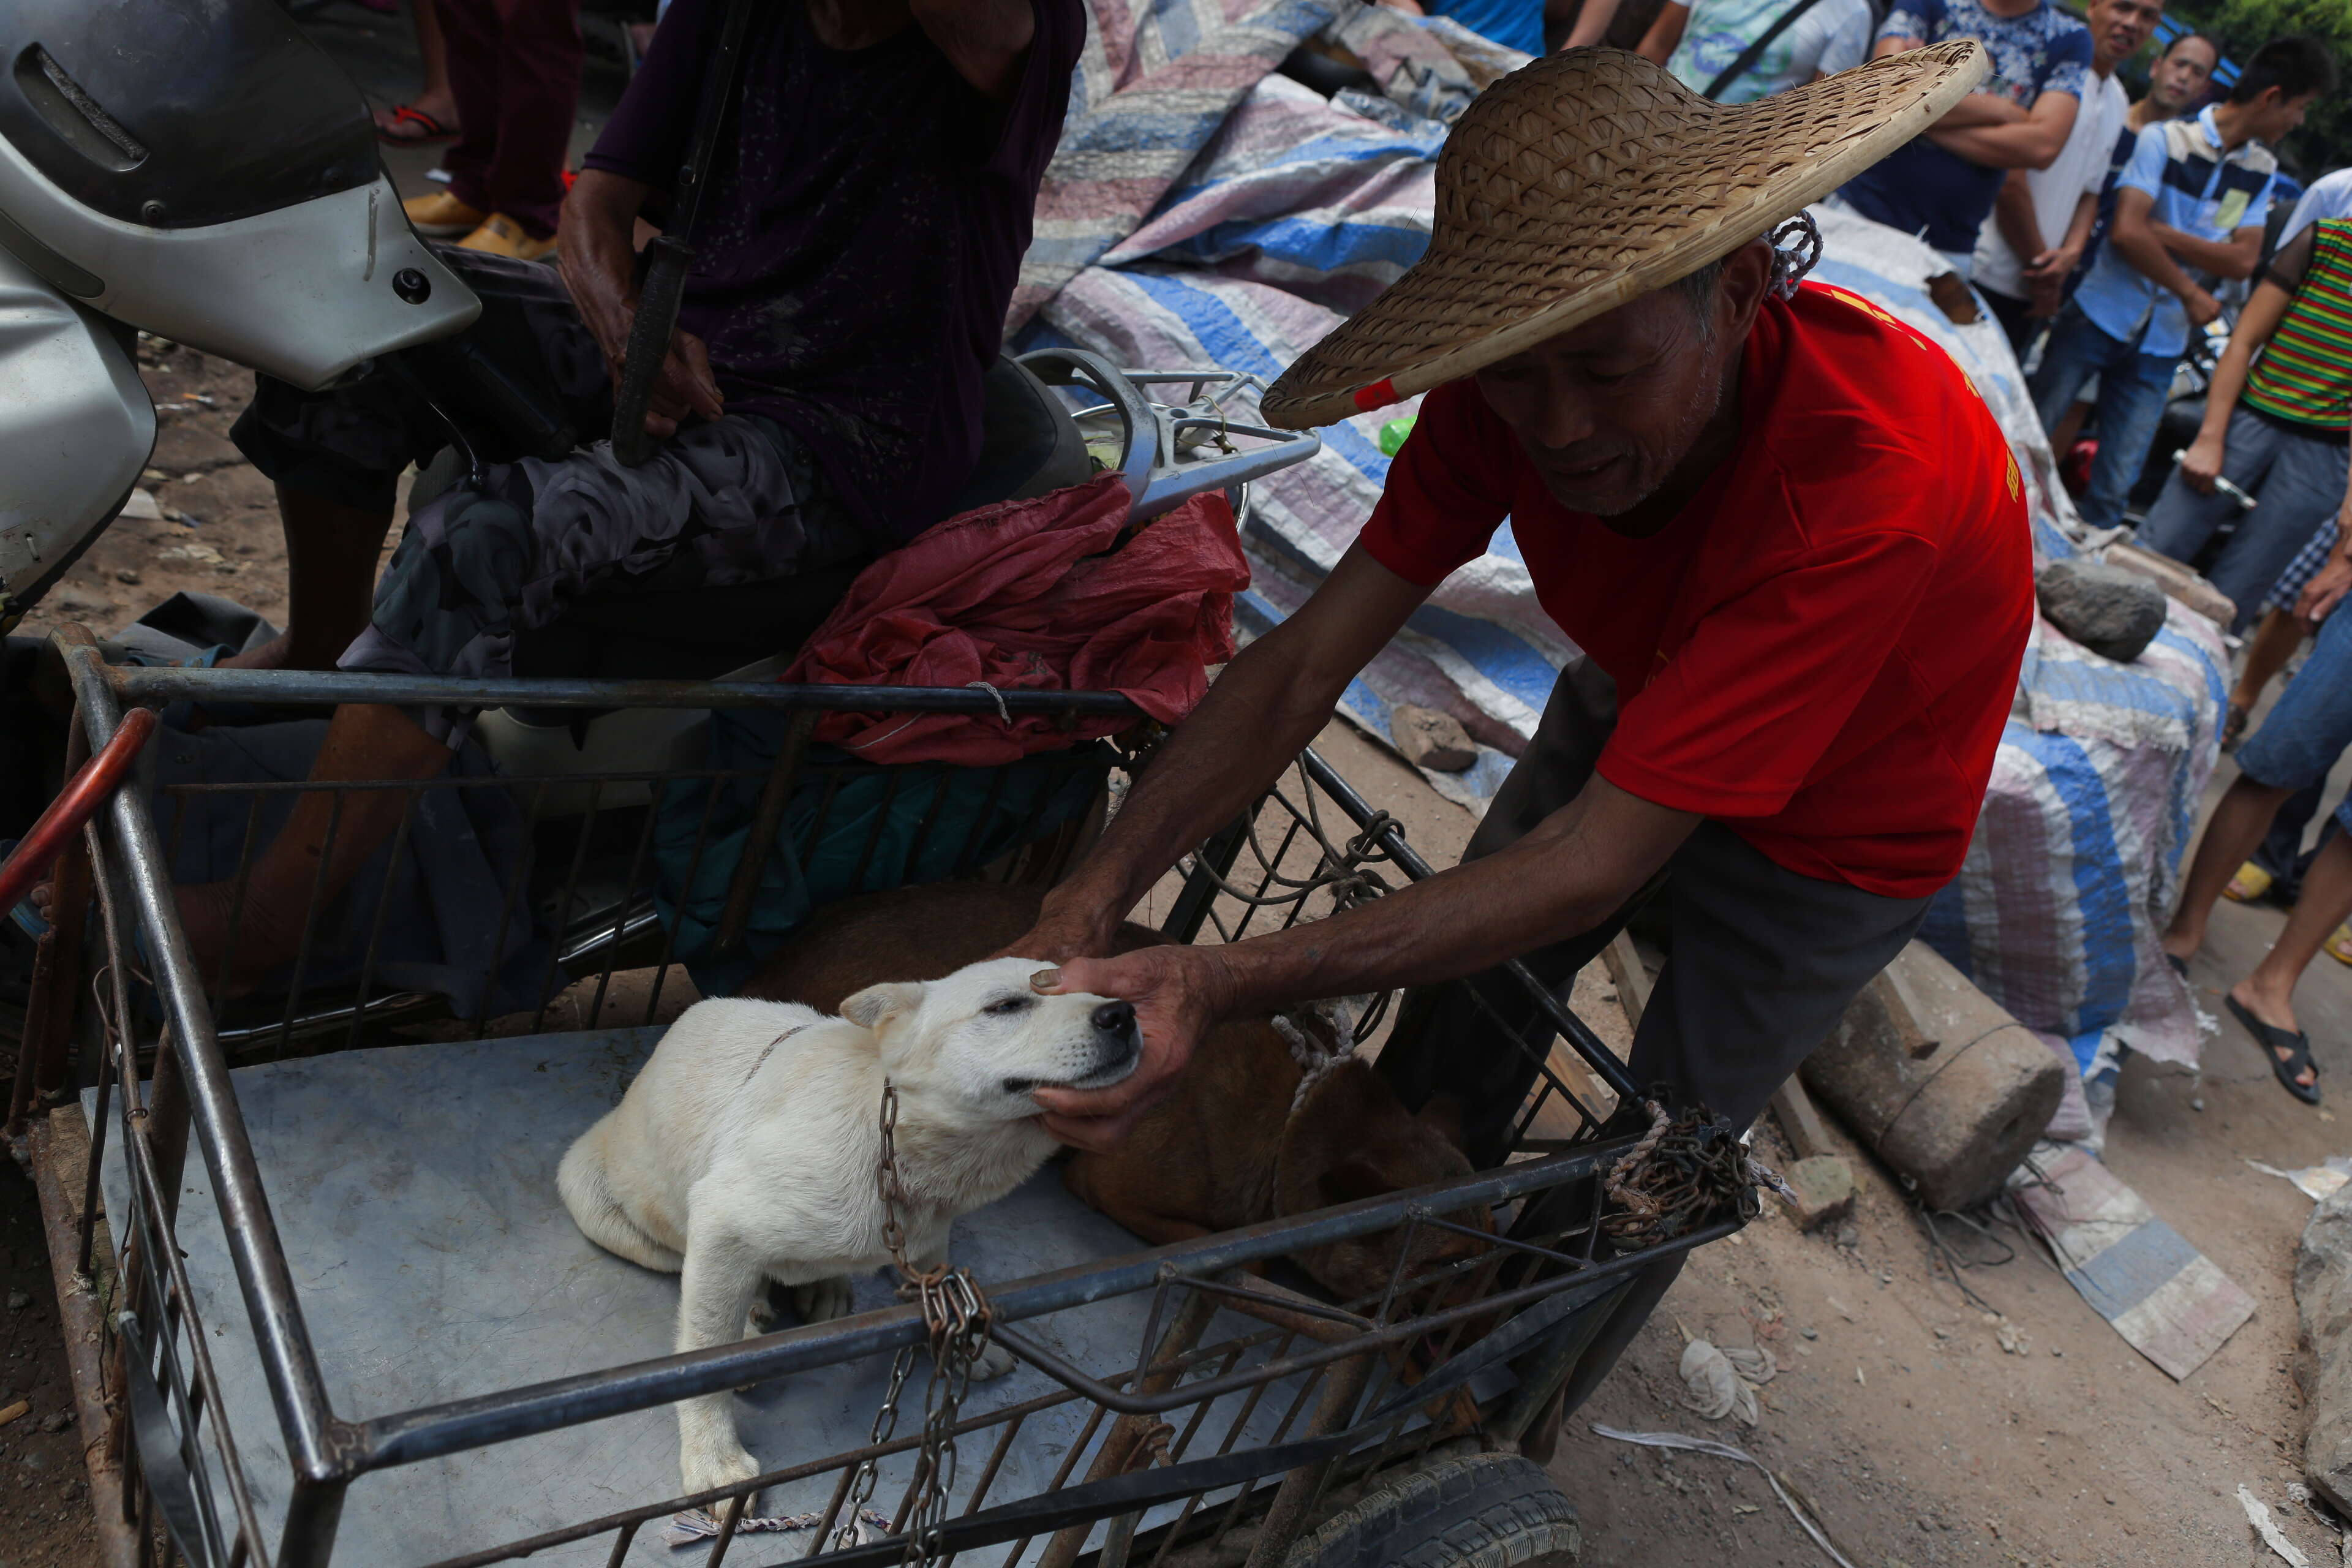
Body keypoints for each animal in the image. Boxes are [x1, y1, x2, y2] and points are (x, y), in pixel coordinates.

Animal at [555, 959, 1133, 1495]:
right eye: (1006, 1006)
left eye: (1098, 989)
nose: (1123, 1015)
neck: (896, 1148)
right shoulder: (721, 1215)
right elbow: (703, 1358)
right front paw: (713, 1460)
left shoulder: (927, 1237)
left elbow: (943, 1281)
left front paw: (976, 1343)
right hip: (594, 1192)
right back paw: (752, 1317)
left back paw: (824, 1288)